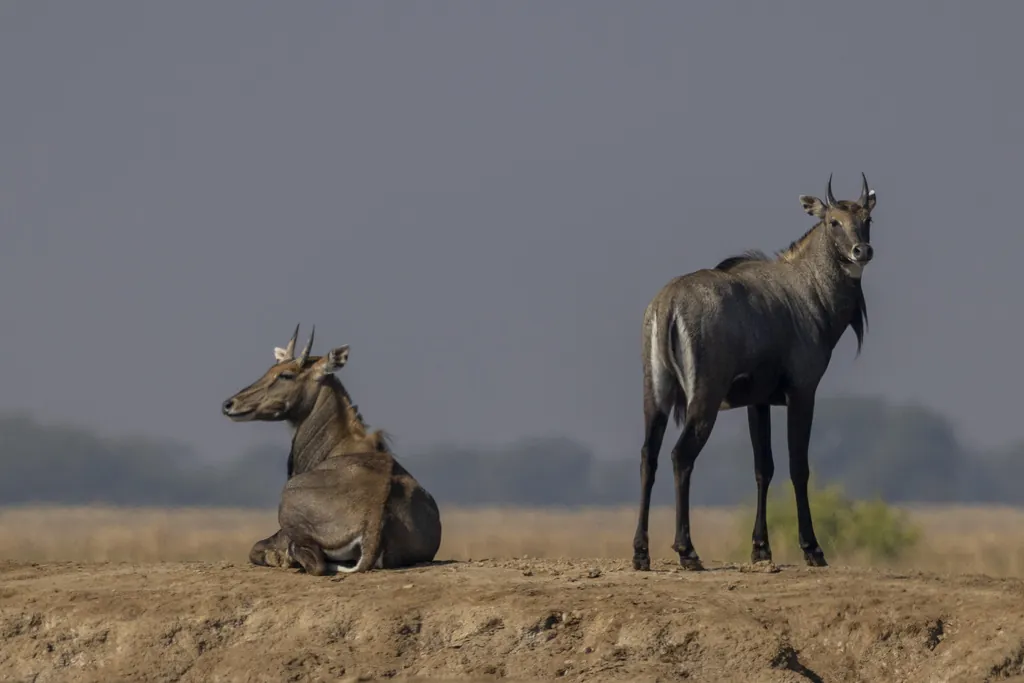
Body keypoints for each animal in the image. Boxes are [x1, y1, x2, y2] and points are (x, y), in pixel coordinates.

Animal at [221, 325, 442, 575]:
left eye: (286, 374)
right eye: (271, 368)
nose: (229, 404)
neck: (341, 444)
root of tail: (373, 519)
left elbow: (256, 548)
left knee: (314, 562)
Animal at [633, 173, 877, 572]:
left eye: (867, 218)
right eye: (833, 221)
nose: (862, 251)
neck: (809, 289)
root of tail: (667, 305)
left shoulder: (757, 402)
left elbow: (764, 467)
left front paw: (761, 548)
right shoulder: (802, 392)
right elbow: (798, 466)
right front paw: (812, 549)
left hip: (656, 396)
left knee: (647, 458)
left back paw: (641, 553)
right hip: (704, 399)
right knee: (680, 456)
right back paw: (688, 551)